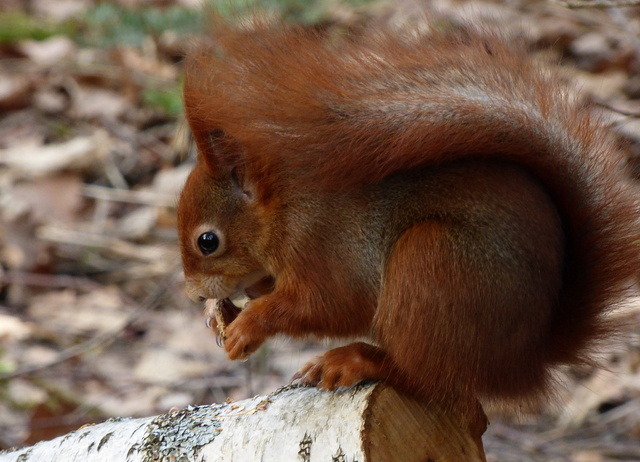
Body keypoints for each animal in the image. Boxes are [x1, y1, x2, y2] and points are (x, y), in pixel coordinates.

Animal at [177, 18, 639, 412]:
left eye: (207, 241)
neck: (286, 210)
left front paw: (248, 324)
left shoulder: (325, 249)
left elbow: (323, 306)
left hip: (433, 264)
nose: (194, 295)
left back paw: (357, 360)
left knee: (428, 378)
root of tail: (526, 363)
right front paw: (217, 314)